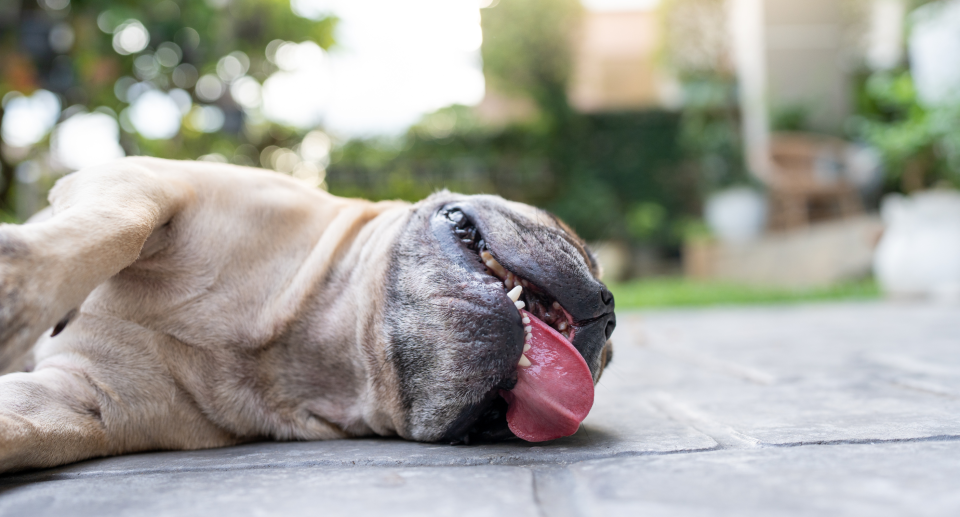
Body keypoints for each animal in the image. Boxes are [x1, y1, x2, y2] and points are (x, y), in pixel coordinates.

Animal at [0, 157, 616, 472]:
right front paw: (22, 284)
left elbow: (25, 425)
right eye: (580, 247)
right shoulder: (149, 182)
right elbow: (117, 226)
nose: (609, 317)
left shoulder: (77, 400)